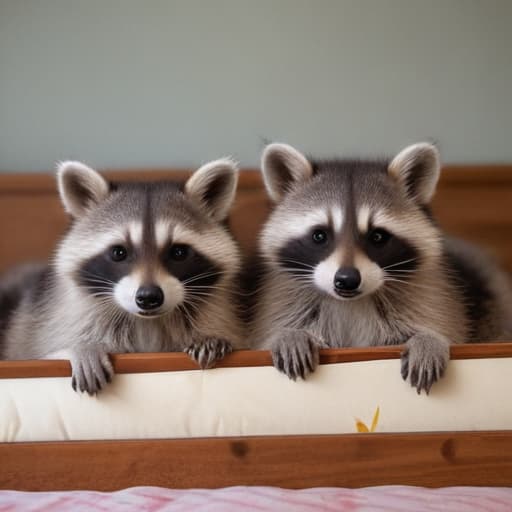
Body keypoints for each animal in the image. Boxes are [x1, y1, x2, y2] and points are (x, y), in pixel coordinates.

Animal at [0, 158, 244, 394]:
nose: (148, 297)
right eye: (119, 252)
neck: (147, 323)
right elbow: (32, 357)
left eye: (179, 252)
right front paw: (78, 348)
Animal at [251, 142, 512, 394]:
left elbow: (438, 326)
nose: (347, 279)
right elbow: (274, 330)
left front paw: (428, 339)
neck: (350, 303)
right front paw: (289, 334)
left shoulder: (429, 299)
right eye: (319, 235)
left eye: (377, 236)